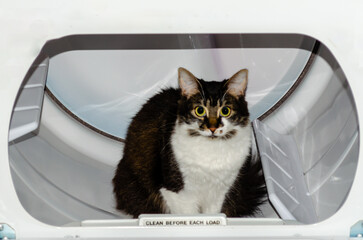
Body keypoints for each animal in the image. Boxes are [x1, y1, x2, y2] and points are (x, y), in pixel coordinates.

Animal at [113, 67, 268, 218]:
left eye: (225, 110)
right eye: (199, 110)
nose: (212, 128)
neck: (211, 152)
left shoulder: (220, 193)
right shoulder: (175, 191)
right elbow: (189, 215)